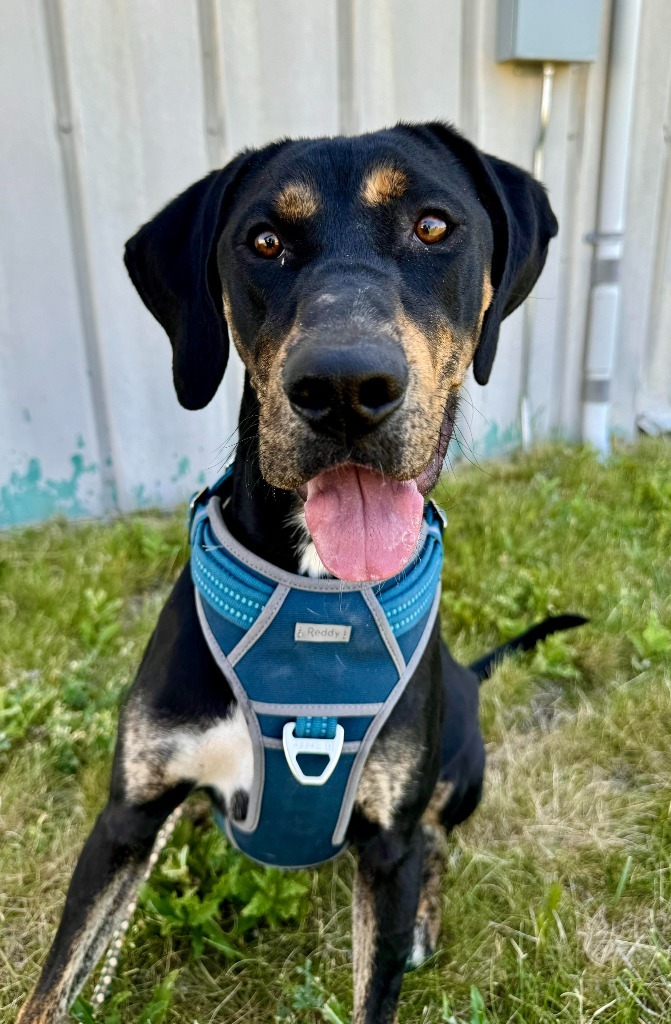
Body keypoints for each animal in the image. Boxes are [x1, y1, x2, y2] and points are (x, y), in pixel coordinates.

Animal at [14, 121, 577, 1024]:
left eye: (432, 226)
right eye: (264, 242)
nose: (344, 386)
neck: (316, 594)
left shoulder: (384, 853)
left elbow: (380, 967)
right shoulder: (125, 819)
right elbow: (53, 984)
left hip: (461, 770)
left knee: (438, 841)